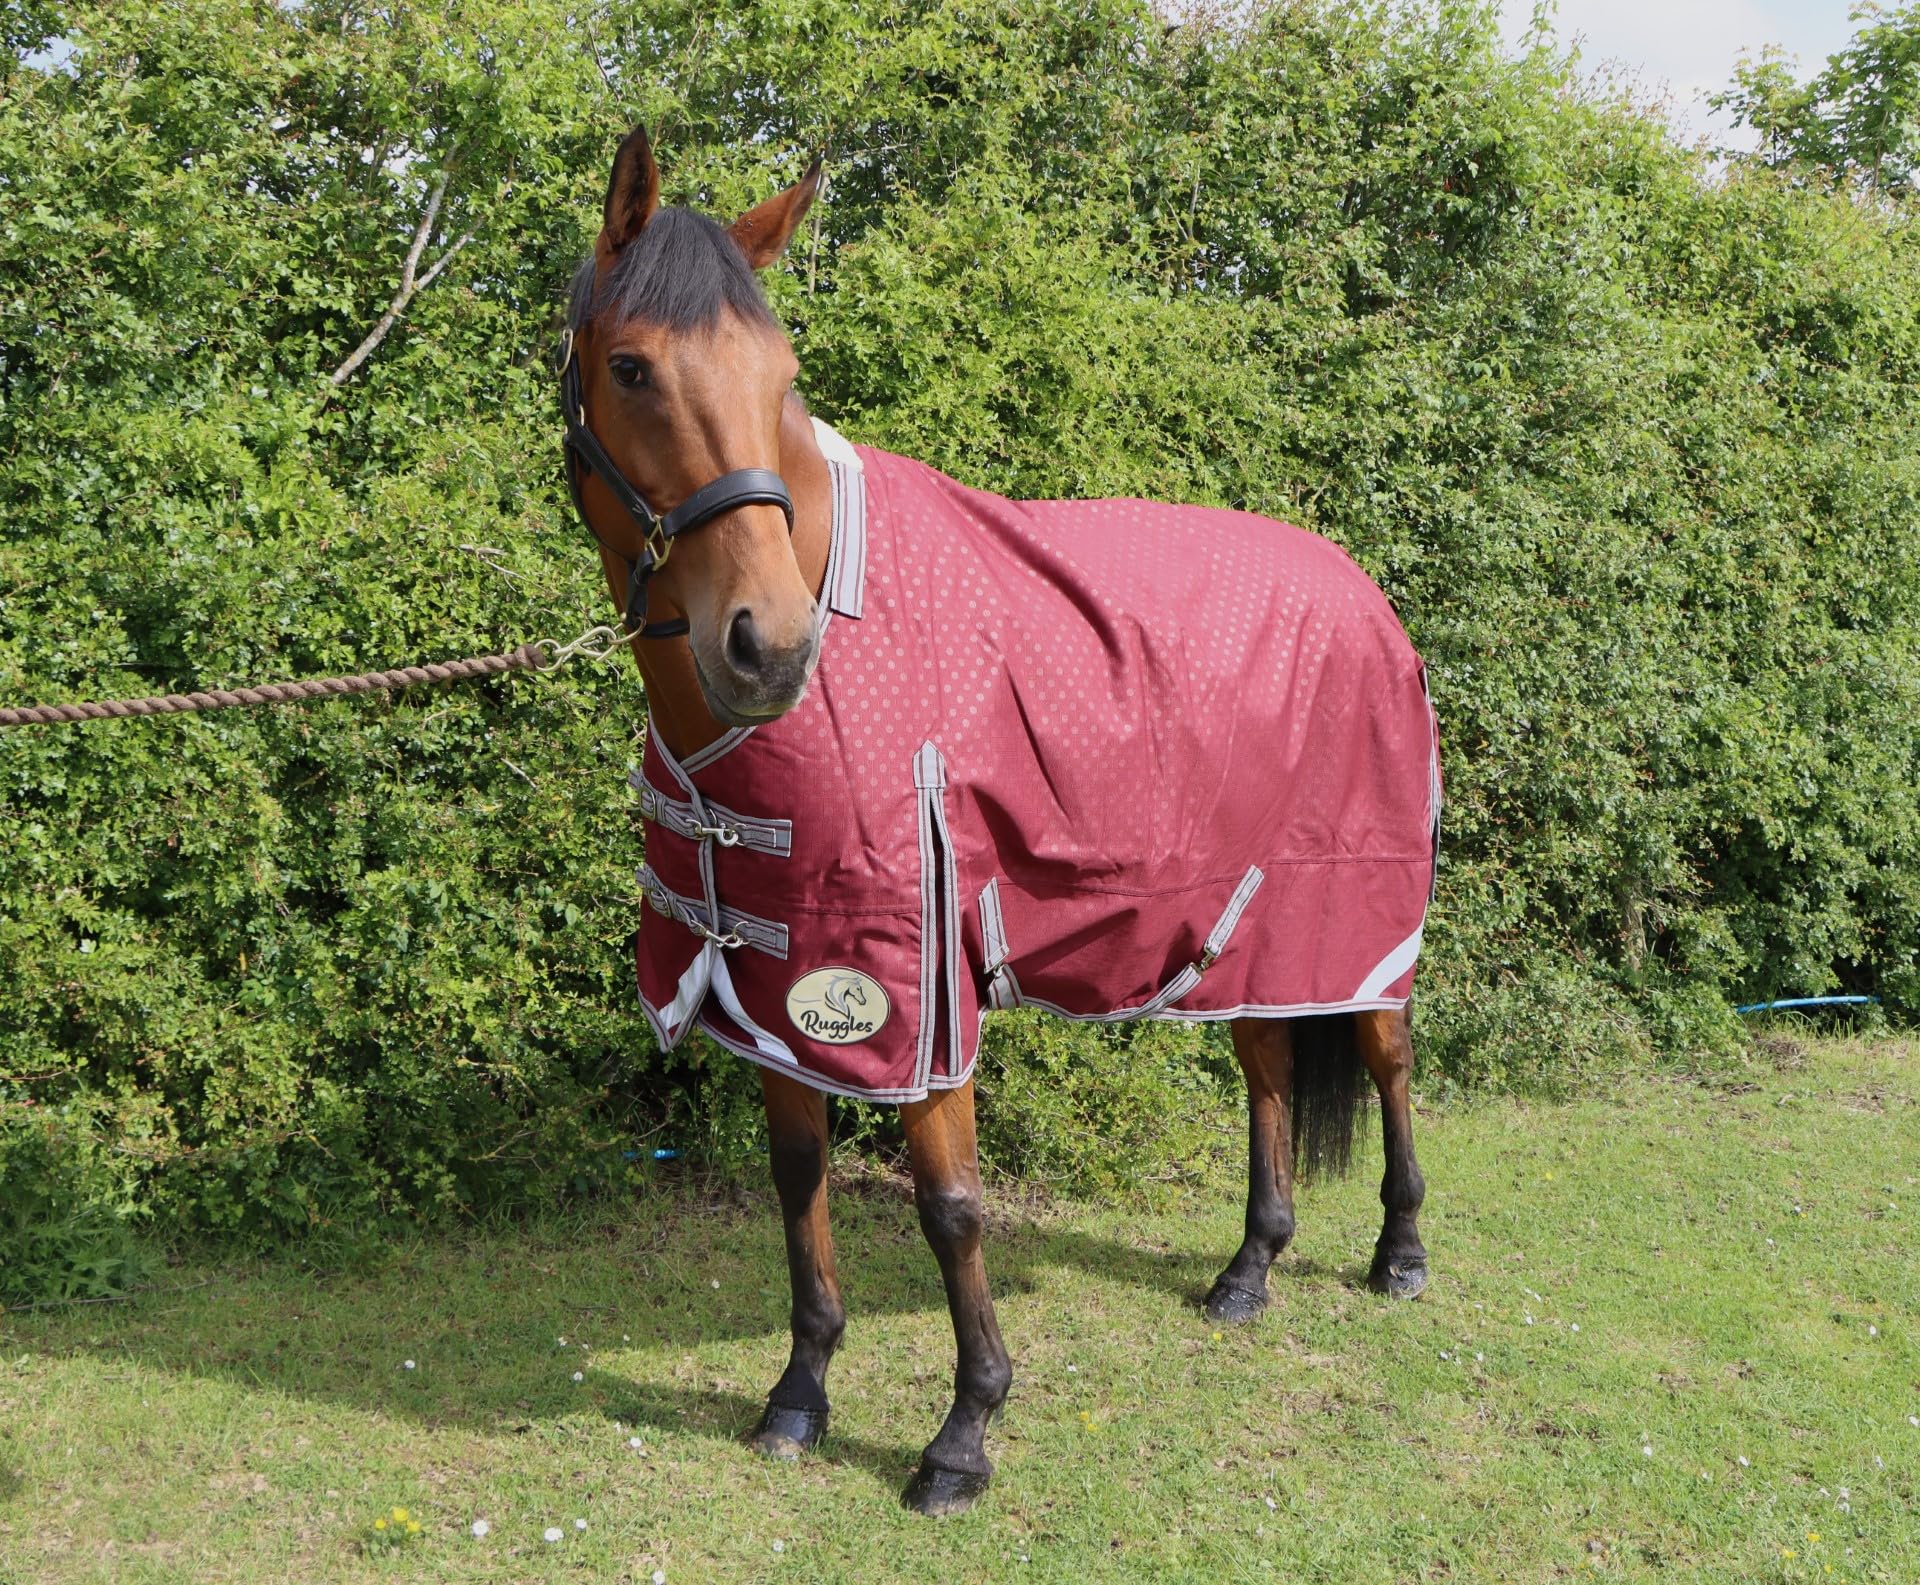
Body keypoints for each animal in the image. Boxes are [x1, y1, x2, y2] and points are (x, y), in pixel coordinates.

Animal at [561, 123, 1436, 1516]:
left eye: (782, 375)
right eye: (633, 366)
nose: (768, 647)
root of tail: (1362, 595)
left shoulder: (914, 990)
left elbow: (953, 1205)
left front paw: (962, 1435)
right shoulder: (775, 979)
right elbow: (799, 1183)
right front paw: (799, 1395)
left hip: (1346, 906)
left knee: (1389, 1053)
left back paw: (1399, 1250)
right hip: (1238, 929)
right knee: (1266, 1069)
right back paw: (1248, 1270)